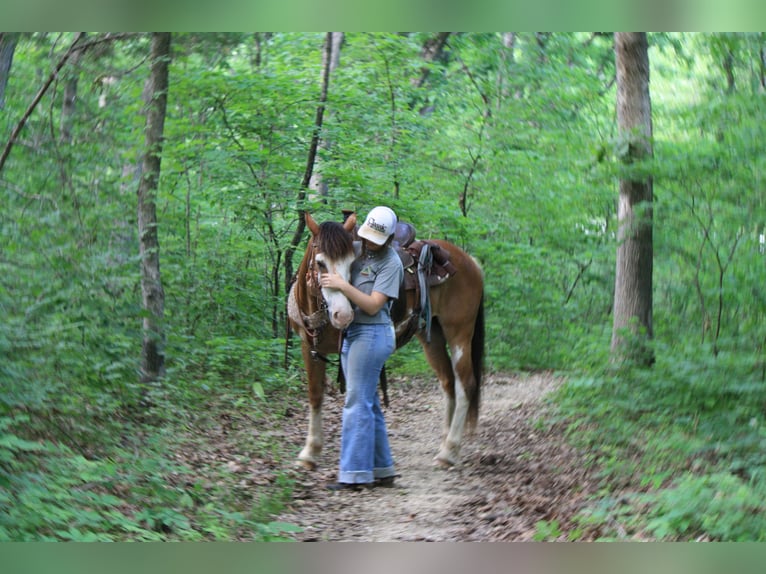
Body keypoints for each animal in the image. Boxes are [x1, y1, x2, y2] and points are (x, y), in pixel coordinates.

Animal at [287, 211, 485, 470]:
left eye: (352, 264)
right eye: (320, 263)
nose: (343, 315)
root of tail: (471, 262)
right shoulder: (309, 348)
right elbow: (315, 394)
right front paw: (310, 452)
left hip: (459, 333)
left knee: (466, 385)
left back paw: (449, 451)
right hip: (432, 337)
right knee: (448, 382)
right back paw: (445, 442)